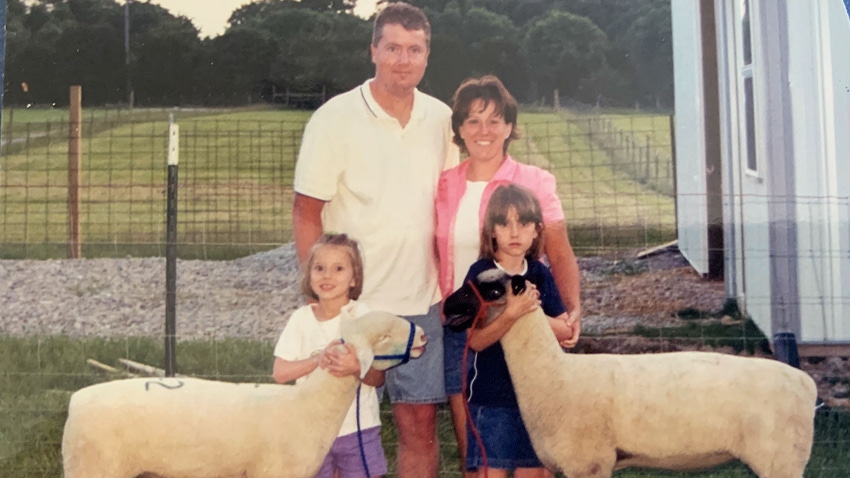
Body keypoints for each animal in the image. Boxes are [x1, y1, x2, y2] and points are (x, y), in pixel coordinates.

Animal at [63, 310, 428, 478]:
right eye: (384, 336)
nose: (424, 335)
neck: (307, 407)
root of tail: (76, 401)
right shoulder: (275, 472)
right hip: (94, 467)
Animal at [440, 268, 820, 478]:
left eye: (491, 290)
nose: (447, 305)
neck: (555, 375)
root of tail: (807, 385)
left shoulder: (589, 464)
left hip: (782, 459)